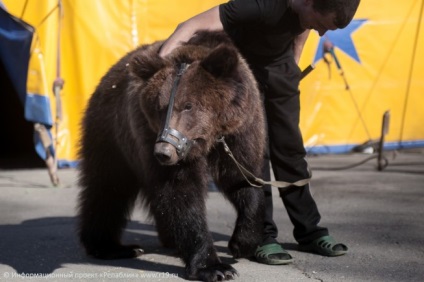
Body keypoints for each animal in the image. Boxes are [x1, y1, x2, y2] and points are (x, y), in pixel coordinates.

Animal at [77, 29, 264, 280]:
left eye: (188, 105)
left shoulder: (240, 131)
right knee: (107, 186)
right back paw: (112, 246)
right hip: (112, 133)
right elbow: (180, 191)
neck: (209, 138)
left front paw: (243, 242)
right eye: (159, 107)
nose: (163, 152)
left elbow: (242, 176)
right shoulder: (148, 133)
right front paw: (214, 267)